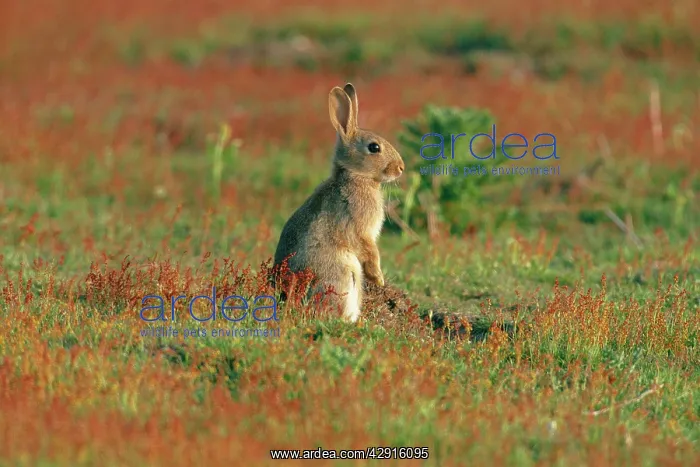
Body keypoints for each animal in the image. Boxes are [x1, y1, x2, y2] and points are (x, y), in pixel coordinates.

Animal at [272, 82, 405, 322]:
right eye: (374, 148)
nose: (401, 168)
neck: (356, 176)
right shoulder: (360, 228)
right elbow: (369, 251)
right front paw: (379, 279)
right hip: (341, 275)